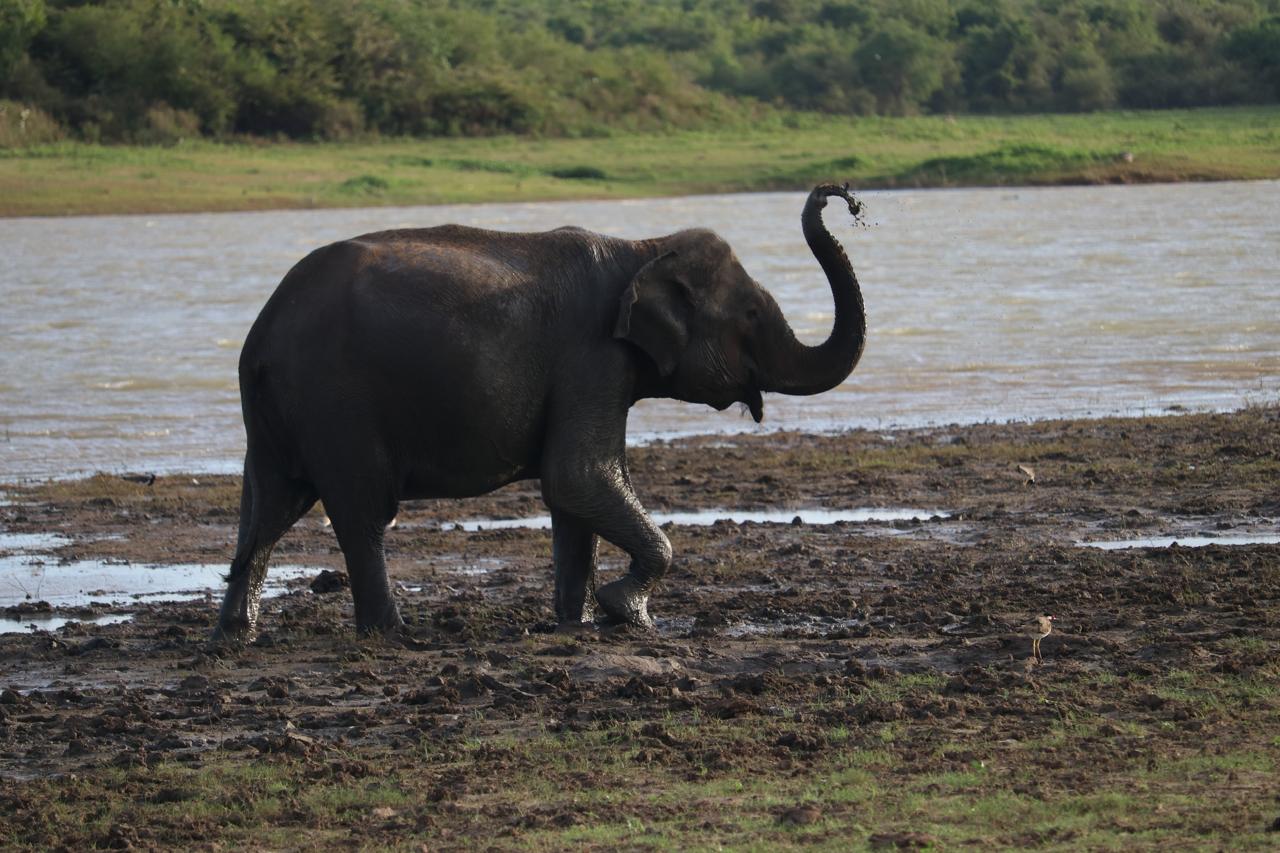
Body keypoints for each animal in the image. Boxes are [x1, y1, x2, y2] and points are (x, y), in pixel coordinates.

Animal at [213, 183, 866, 644]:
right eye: (752, 316)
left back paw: (235, 636)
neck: (642, 247)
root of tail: (260, 337)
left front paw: (576, 623)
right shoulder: (592, 357)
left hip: (282, 413)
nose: (839, 195)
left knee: (267, 506)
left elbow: (577, 494)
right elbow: (578, 476)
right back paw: (392, 635)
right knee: (361, 510)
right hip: (336, 400)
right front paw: (628, 614)